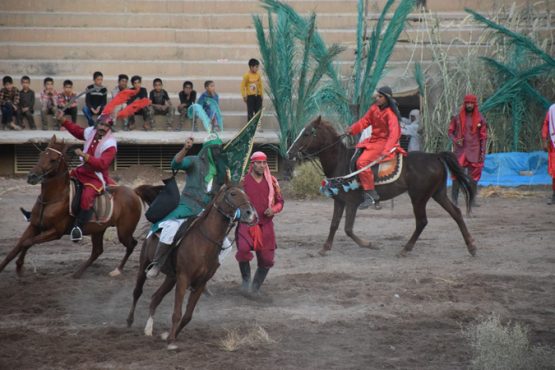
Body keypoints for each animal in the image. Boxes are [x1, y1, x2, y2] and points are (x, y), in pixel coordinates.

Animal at [0, 135, 146, 278]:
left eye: (53, 160)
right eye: (40, 155)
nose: (32, 176)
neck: (51, 199)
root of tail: (133, 192)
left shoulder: (55, 232)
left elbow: (28, 242)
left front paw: (19, 266)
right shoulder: (34, 226)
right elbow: (18, 246)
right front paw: (6, 267)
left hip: (124, 231)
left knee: (131, 244)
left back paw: (118, 270)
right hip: (98, 230)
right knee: (97, 251)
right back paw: (78, 273)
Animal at [127, 184, 258, 350]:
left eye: (245, 193)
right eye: (233, 194)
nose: (250, 213)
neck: (204, 241)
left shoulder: (200, 283)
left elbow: (188, 315)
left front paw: (169, 336)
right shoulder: (184, 278)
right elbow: (177, 312)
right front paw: (171, 340)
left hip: (171, 278)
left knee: (155, 297)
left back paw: (148, 328)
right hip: (144, 265)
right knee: (137, 292)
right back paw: (130, 321)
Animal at [286, 118, 478, 258]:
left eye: (307, 133)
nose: (289, 153)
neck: (341, 161)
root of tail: (435, 156)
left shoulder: (352, 203)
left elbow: (348, 229)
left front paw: (368, 244)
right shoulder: (339, 201)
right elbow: (334, 225)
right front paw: (325, 248)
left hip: (418, 197)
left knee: (422, 221)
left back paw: (406, 249)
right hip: (438, 194)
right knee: (456, 213)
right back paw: (471, 246)